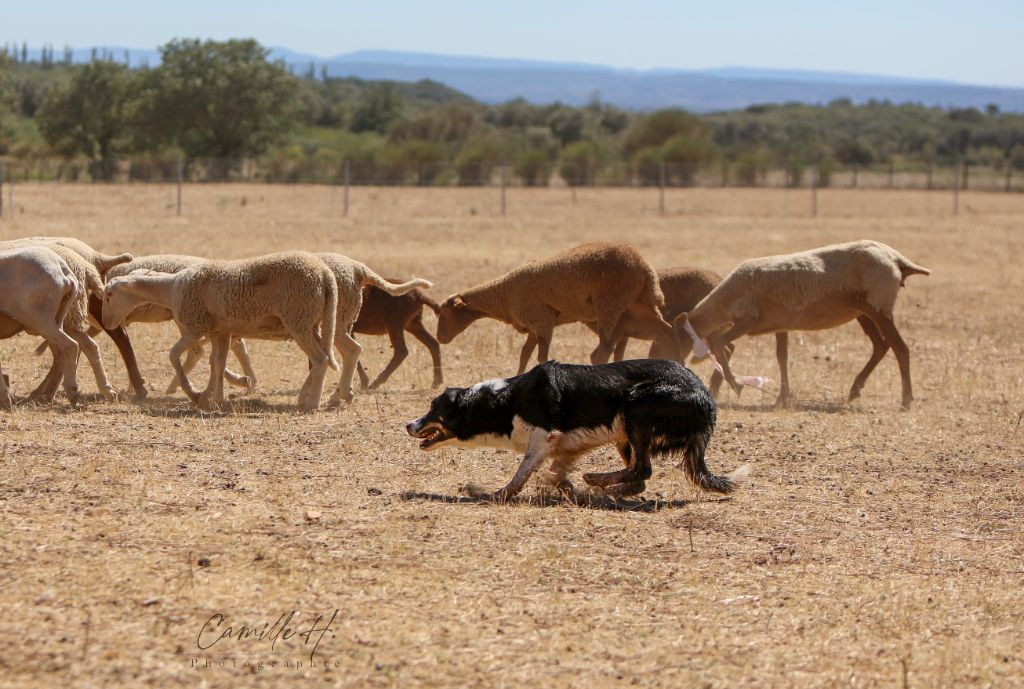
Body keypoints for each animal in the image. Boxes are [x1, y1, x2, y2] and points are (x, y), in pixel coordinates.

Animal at [0, 247, 83, 405]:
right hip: (56, 319)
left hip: (38, 319)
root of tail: (63, 270)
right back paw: (46, 395)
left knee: (71, 345)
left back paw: (71, 391)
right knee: (60, 353)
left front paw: (5, 399)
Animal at [403, 360, 749, 499]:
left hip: (635, 408)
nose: (409, 424)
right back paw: (606, 489)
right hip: (624, 432)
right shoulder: (564, 446)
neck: (505, 399)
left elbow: (520, 475)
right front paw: (567, 489)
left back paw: (598, 482)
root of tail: (708, 403)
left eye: (434, 408)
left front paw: (492, 493)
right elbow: (556, 474)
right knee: (638, 476)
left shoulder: (543, 437)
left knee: (643, 469)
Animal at [436, 240, 675, 370]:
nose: (441, 338)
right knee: (667, 331)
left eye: (445, 313)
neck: (504, 293)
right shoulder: (534, 326)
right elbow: (524, 355)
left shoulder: (542, 321)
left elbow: (541, 357)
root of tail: (644, 266)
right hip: (638, 303)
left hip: (610, 304)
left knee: (602, 351)